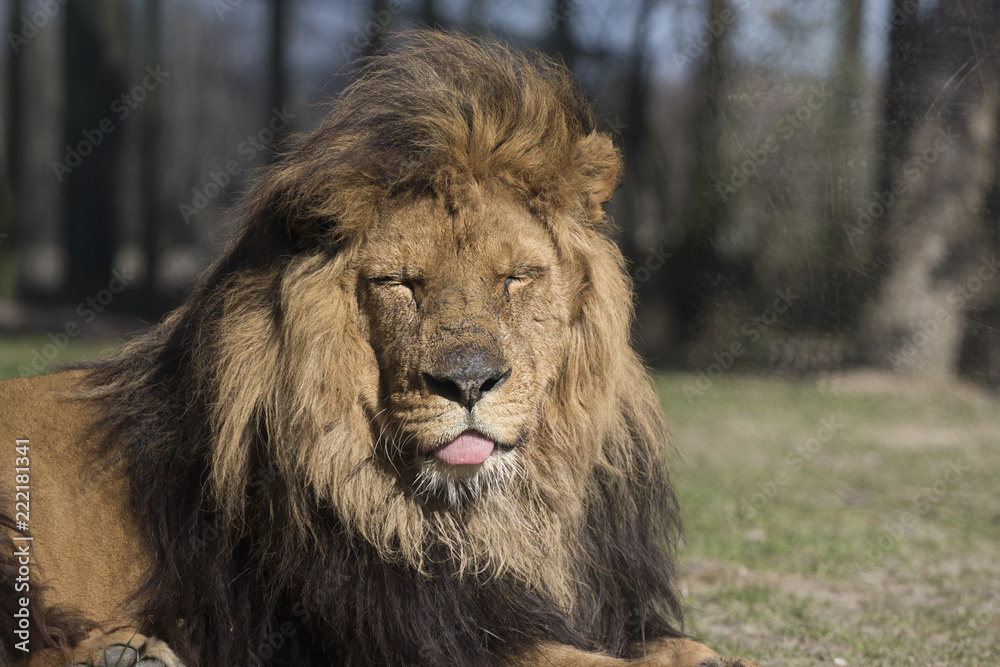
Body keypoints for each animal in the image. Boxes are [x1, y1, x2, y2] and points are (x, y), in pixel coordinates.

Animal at [0, 31, 757, 667]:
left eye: (516, 277)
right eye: (399, 283)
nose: (468, 383)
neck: (491, 520)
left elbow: (686, 647)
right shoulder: (387, 633)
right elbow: (561, 656)